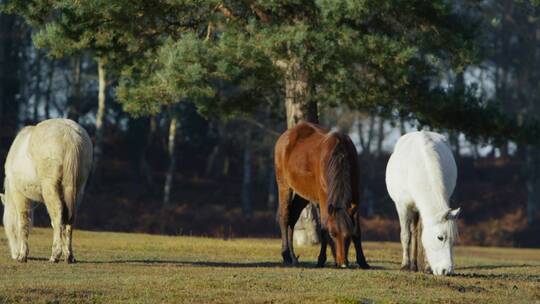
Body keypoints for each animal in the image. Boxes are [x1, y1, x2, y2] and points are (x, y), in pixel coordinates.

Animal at [0, 117, 93, 262]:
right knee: (69, 218)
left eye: (8, 227)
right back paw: (69, 255)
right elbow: (56, 224)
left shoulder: (19, 194)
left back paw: (55, 255)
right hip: (77, 190)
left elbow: (23, 222)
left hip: (50, 188)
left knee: (58, 213)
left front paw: (22, 255)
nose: (14, 255)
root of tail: (69, 135)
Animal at [276, 121, 370, 268]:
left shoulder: (355, 195)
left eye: (348, 234)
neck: (340, 155)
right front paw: (321, 259)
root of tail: (284, 136)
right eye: (333, 233)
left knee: (292, 218)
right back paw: (286, 255)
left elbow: (357, 230)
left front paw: (362, 261)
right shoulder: (323, 198)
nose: (343, 263)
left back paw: (293, 257)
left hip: (303, 194)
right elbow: (323, 228)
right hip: (284, 185)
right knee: (285, 217)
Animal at [386, 131, 462, 276]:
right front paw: (405, 265)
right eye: (440, 238)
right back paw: (412, 265)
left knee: (417, 233)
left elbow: (421, 236)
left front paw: (427, 267)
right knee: (412, 233)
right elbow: (405, 235)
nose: (446, 271)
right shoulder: (403, 207)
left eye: (454, 239)